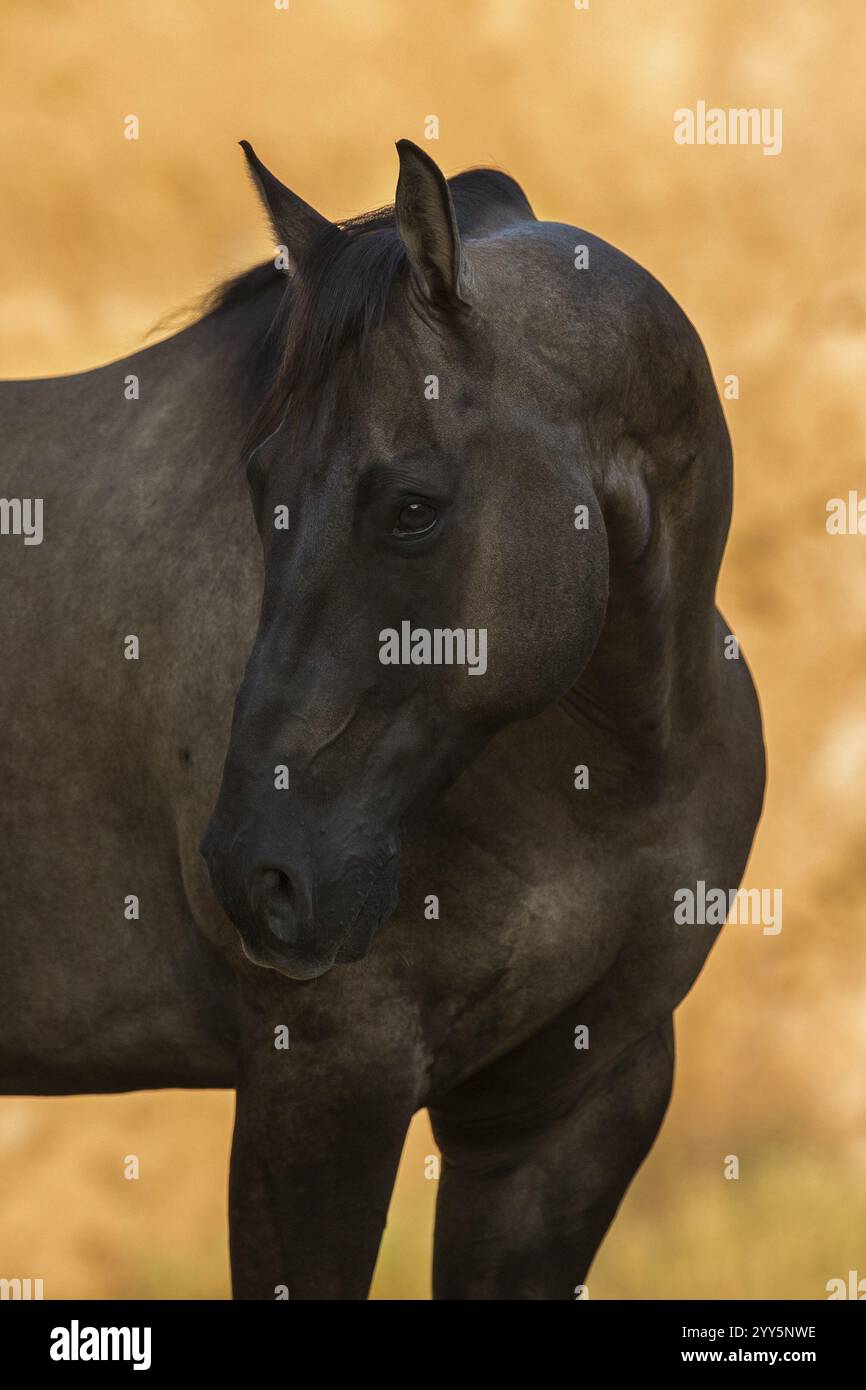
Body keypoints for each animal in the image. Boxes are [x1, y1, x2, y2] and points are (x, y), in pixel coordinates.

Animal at [0, 139, 765, 1299]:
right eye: (258, 482)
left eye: (412, 507)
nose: (259, 873)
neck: (603, 777)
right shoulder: (324, 1090)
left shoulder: (568, 1111)